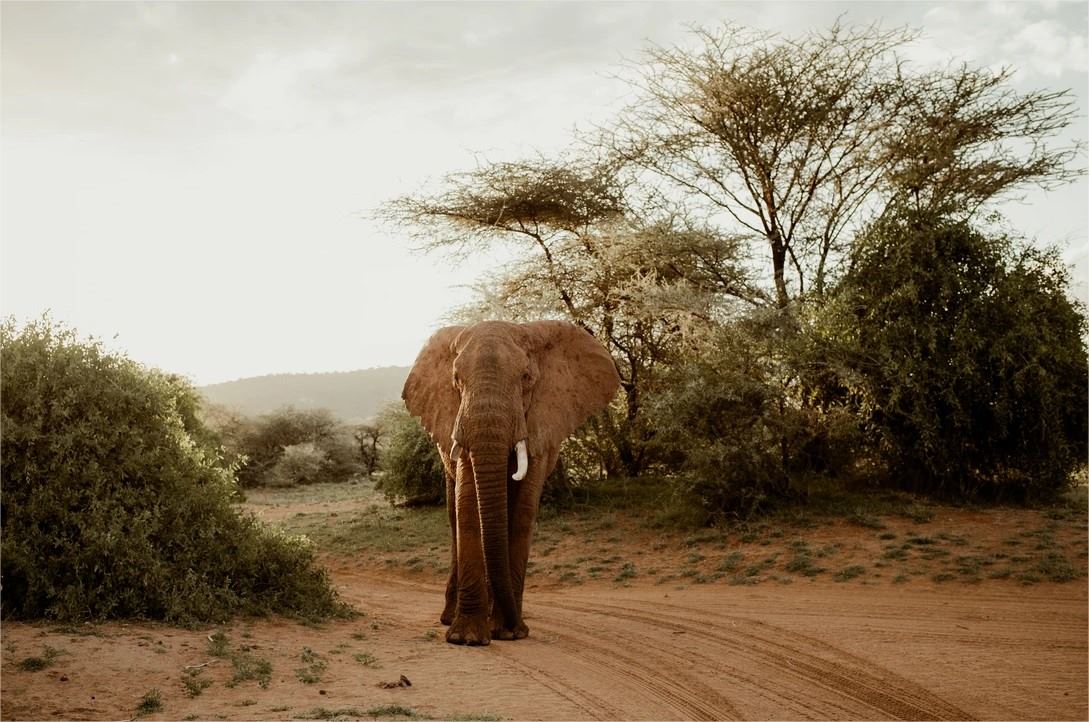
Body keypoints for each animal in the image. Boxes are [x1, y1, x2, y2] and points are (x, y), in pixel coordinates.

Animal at [402, 320, 620, 645]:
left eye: (526, 378)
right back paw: (451, 618)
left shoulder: (541, 423)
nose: (520, 625)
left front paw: (508, 632)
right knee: (454, 517)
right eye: (456, 379)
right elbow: (467, 506)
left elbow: (522, 512)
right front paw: (467, 638)